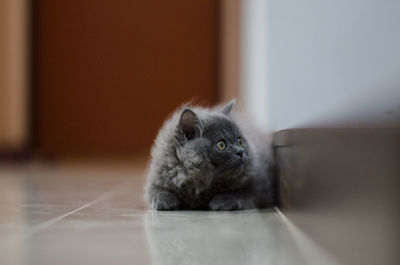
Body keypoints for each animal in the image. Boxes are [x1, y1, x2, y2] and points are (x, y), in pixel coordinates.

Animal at [144, 99, 276, 210]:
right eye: (221, 145)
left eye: (239, 141)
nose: (240, 152)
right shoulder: (158, 179)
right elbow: (159, 192)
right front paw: (164, 201)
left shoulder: (259, 185)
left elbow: (239, 193)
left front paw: (221, 202)